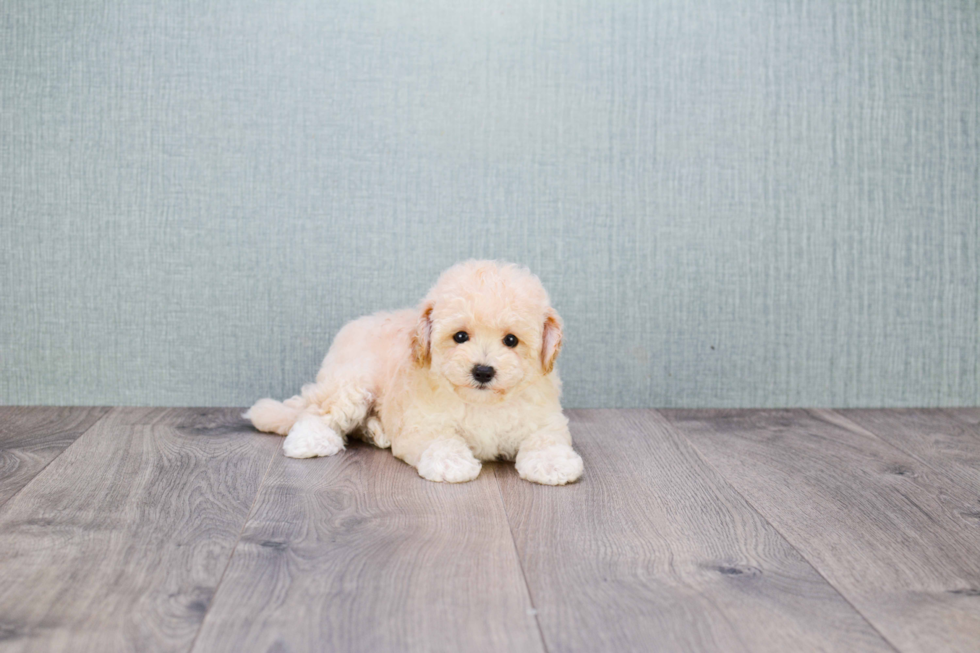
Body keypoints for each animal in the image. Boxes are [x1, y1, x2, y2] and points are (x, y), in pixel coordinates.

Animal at [245, 260, 580, 484]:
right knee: (317, 411)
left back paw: (375, 431)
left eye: (511, 340)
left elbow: (546, 439)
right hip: (350, 384)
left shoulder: (544, 420)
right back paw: (311, 441)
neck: (482, 402)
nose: (483, 371)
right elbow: (439, 440)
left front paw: (553, 464)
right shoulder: (422, 423)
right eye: (460, 336)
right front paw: (450, 463)